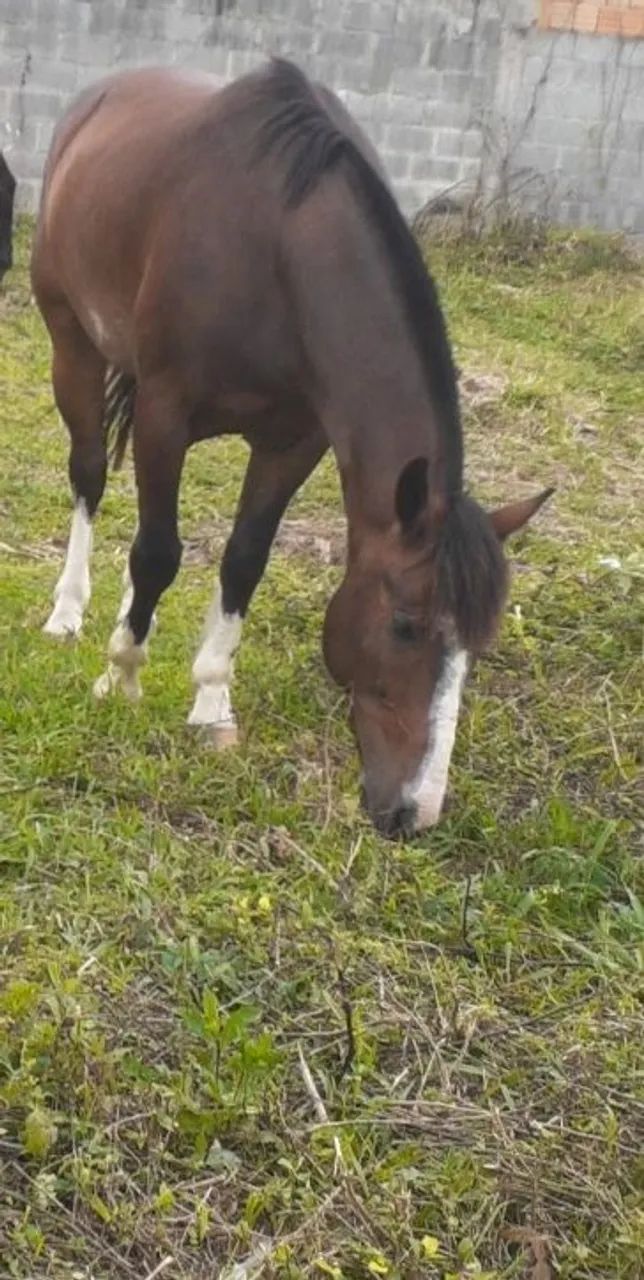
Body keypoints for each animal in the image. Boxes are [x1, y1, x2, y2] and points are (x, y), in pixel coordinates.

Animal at [31, 60, 552, 838]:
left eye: (476, 645)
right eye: (405, 625)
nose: (414, 812)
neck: (277, 252)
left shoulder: (294, 442)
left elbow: (242, 561)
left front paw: (211, 703)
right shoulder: (164, 413)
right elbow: (159, 552)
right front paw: (120, 673)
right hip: (73, 343)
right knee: (90, 475)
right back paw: (69, 613)